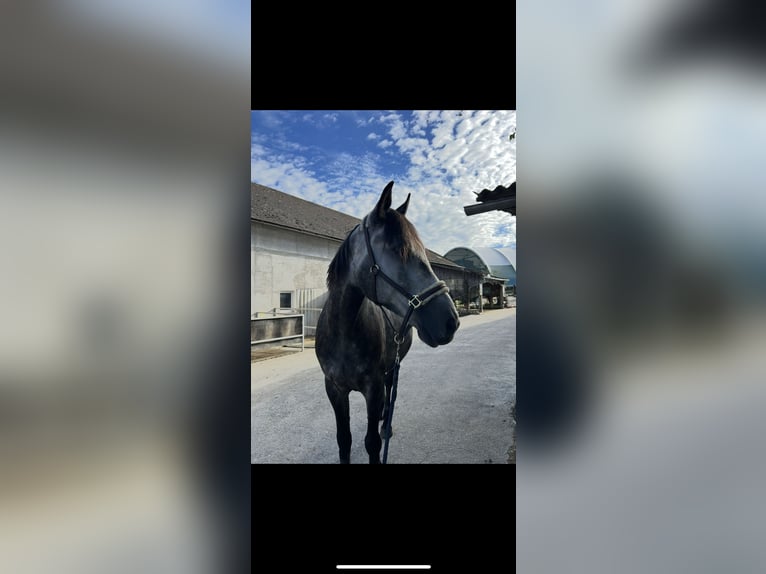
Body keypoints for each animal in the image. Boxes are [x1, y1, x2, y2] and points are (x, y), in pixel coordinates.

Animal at [316, 181, 460, 464]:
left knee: (390, 390)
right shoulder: (334, 389)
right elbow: (344, 440)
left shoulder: (372, 389)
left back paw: (387, 424)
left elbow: (372, 442)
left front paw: (381, 431)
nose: (451, 321)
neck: (343, 333)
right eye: (398, 250)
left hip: (394, 366)